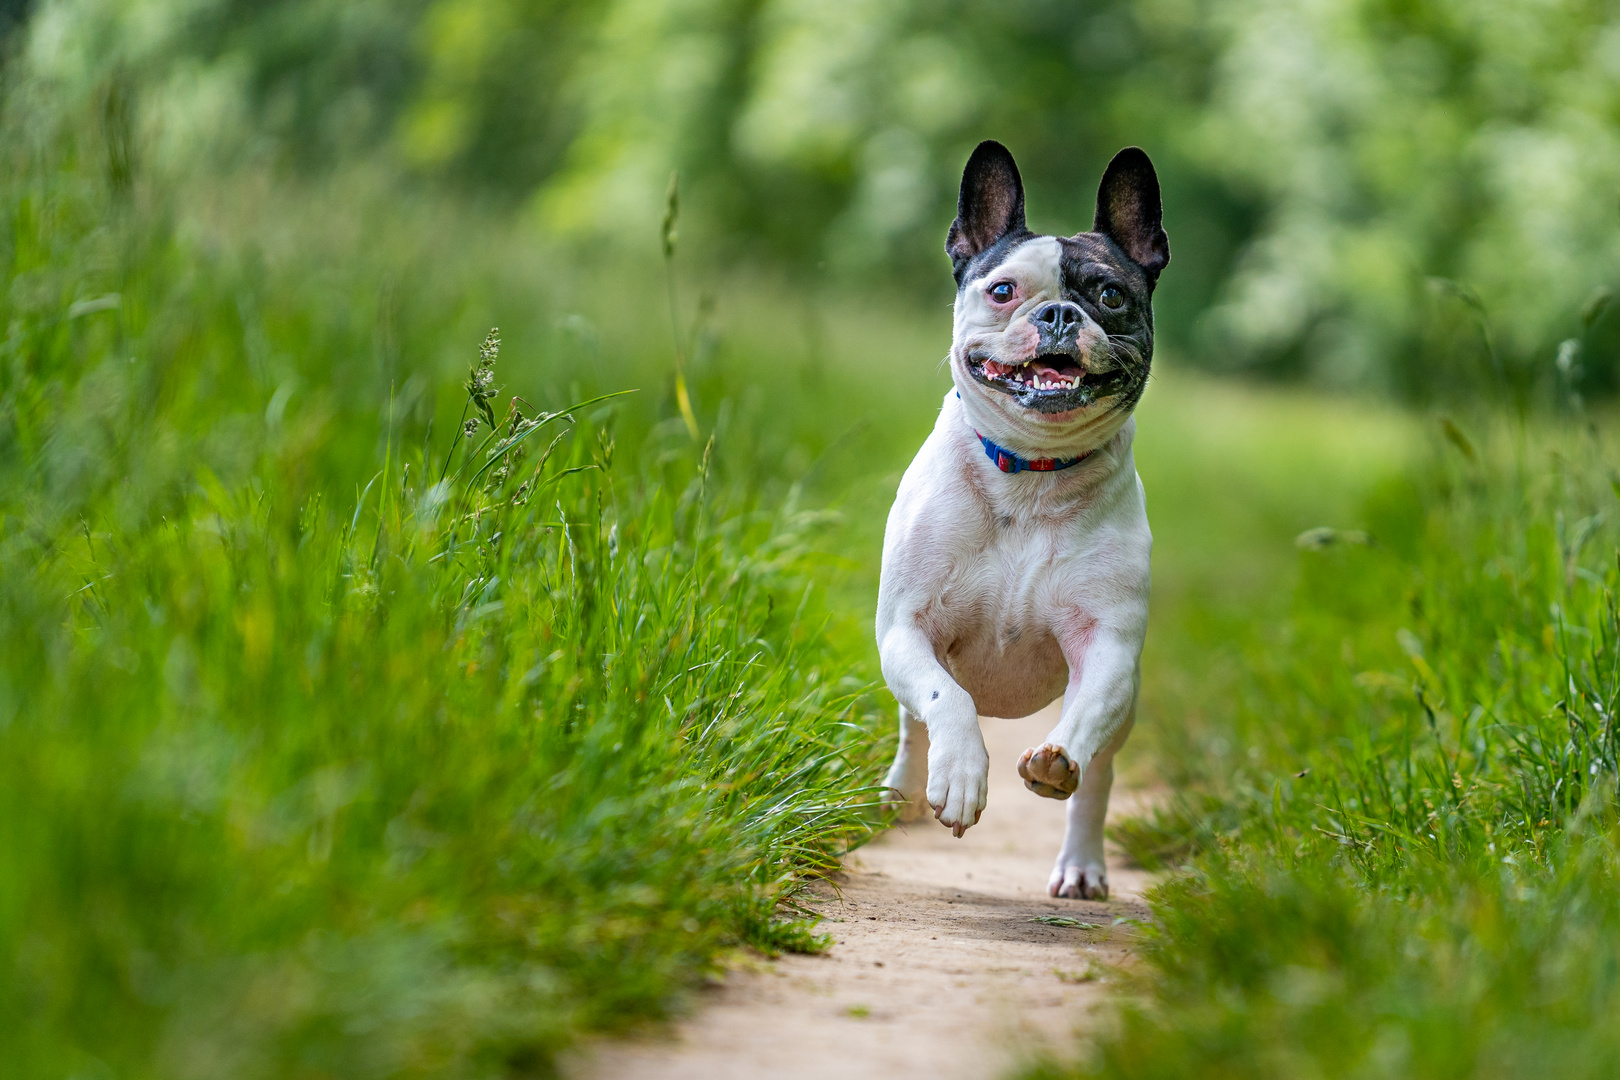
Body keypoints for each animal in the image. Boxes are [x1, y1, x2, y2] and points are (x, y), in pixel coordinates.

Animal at [874, 143, 1166, 906]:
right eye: (1003, 290)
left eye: (1110, 296)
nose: (1060, 313)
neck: (1031, 471)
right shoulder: (905, 627)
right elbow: (945, 699)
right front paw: (957, 777)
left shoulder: (1109, 648)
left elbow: (1085, 718)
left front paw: (1056, 760)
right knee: (914, 721)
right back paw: (904, 791)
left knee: (1098, 779)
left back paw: (1081, 863)